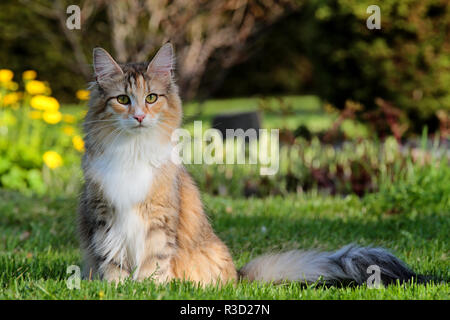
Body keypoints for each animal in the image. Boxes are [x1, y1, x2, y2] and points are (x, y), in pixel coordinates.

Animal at [78, 43, 426, 286]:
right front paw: (119, 288)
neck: (131, 150)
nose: (139, 116)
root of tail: (239, 276)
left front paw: (148, 287)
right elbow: (112, 262)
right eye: (123, 100)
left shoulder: (159, 219)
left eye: (151, 98)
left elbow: (154, 261)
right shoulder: (104, 217)